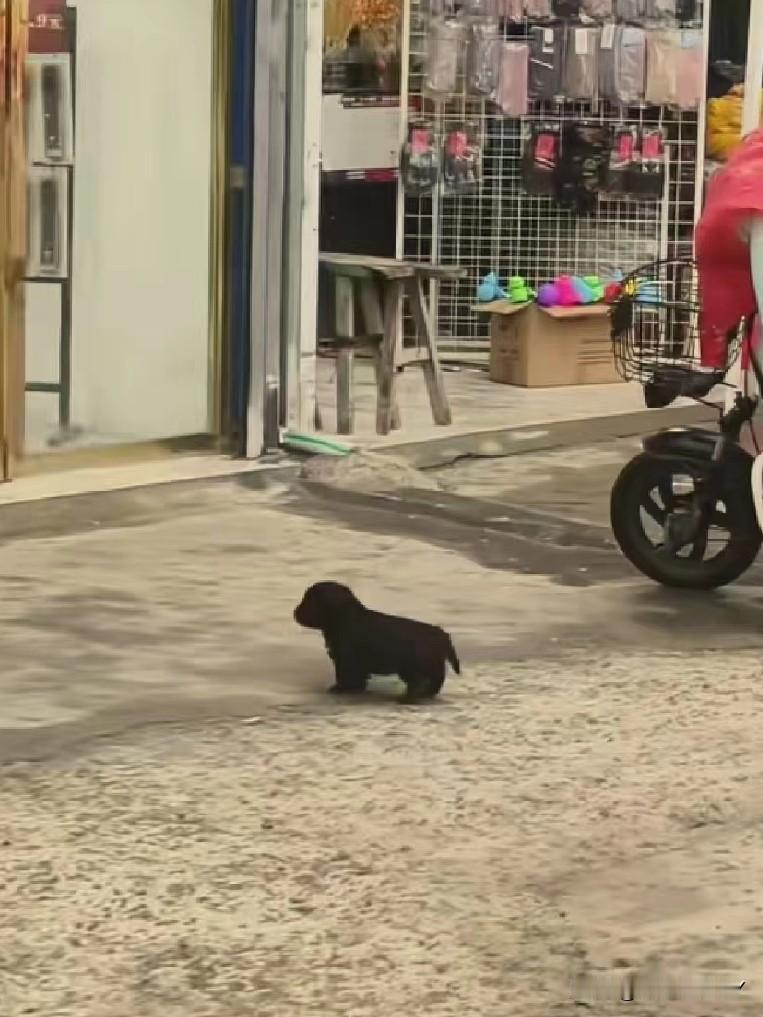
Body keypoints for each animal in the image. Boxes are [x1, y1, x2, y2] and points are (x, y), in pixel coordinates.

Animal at [294, 581, 460, 704]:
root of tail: (441, 634)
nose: (295, 612)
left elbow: (344, 675)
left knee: (419, 682)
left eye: (309, 601)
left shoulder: (345, 659)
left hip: (412, 667)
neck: (345, 618)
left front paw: (340, 689)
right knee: (436, 679)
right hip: (430, 665)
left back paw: (407, 699)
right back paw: (426, 694)